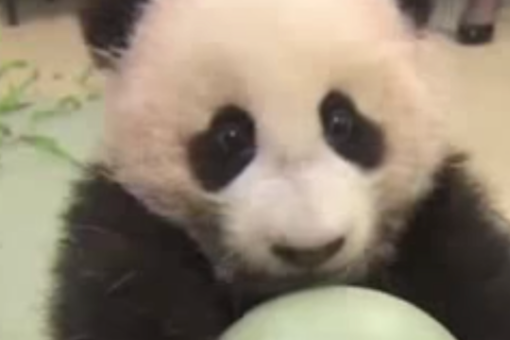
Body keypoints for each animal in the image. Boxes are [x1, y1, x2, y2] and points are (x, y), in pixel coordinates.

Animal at [49, 0, 510, 338]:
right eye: (230, 136)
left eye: (342, 122)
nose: (311, 249)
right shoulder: (125, 234)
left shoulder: (435, 219)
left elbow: (480, 281)